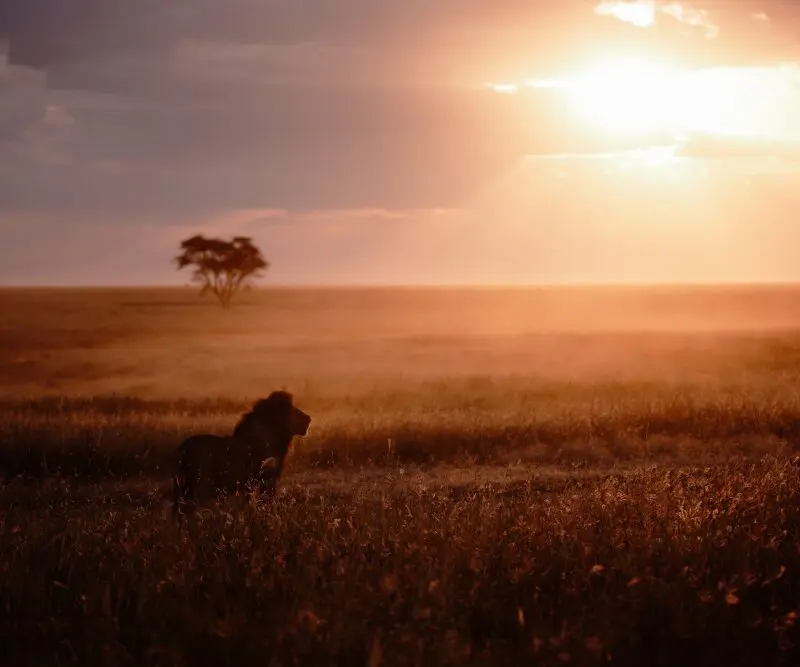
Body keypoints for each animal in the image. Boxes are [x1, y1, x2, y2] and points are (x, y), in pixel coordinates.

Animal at [172, 390, 311, 520]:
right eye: (292, 410)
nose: (309, 418)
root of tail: (182, 447)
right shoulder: (267, 479)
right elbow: (265, 503)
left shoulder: (251, 484)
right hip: (198, 486)